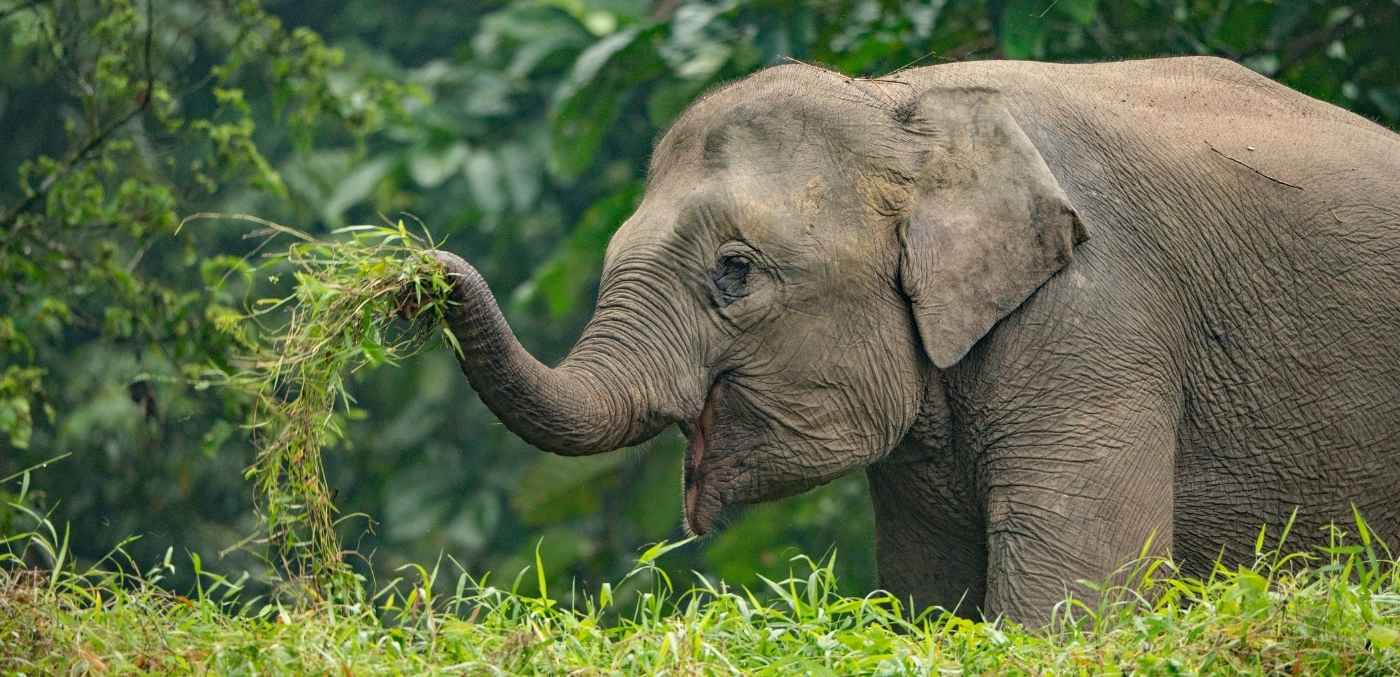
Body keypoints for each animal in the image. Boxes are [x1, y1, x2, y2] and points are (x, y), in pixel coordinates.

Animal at [424, 56, 1400, 625]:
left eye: (734, 272)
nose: (422, 266)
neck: (902, 101)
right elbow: (930, 596)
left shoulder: (1103, 319)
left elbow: (1074, 601)